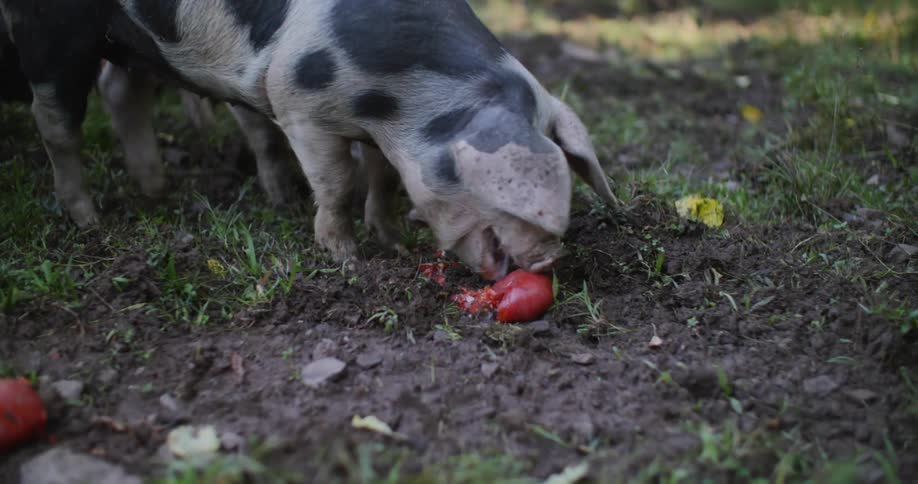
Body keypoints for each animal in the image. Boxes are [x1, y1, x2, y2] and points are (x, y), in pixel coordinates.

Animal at [0, 0, 617, 280]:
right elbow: (338, 183)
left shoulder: (378, 131)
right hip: (50, 29)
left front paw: (392, 242)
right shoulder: (301, 107)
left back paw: (157, 192)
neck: (396, 108)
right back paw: (90, 222)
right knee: (55, 120)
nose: (548, 260)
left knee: (121, 91)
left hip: (136, 44)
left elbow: (384, 181)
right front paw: (348, 260)